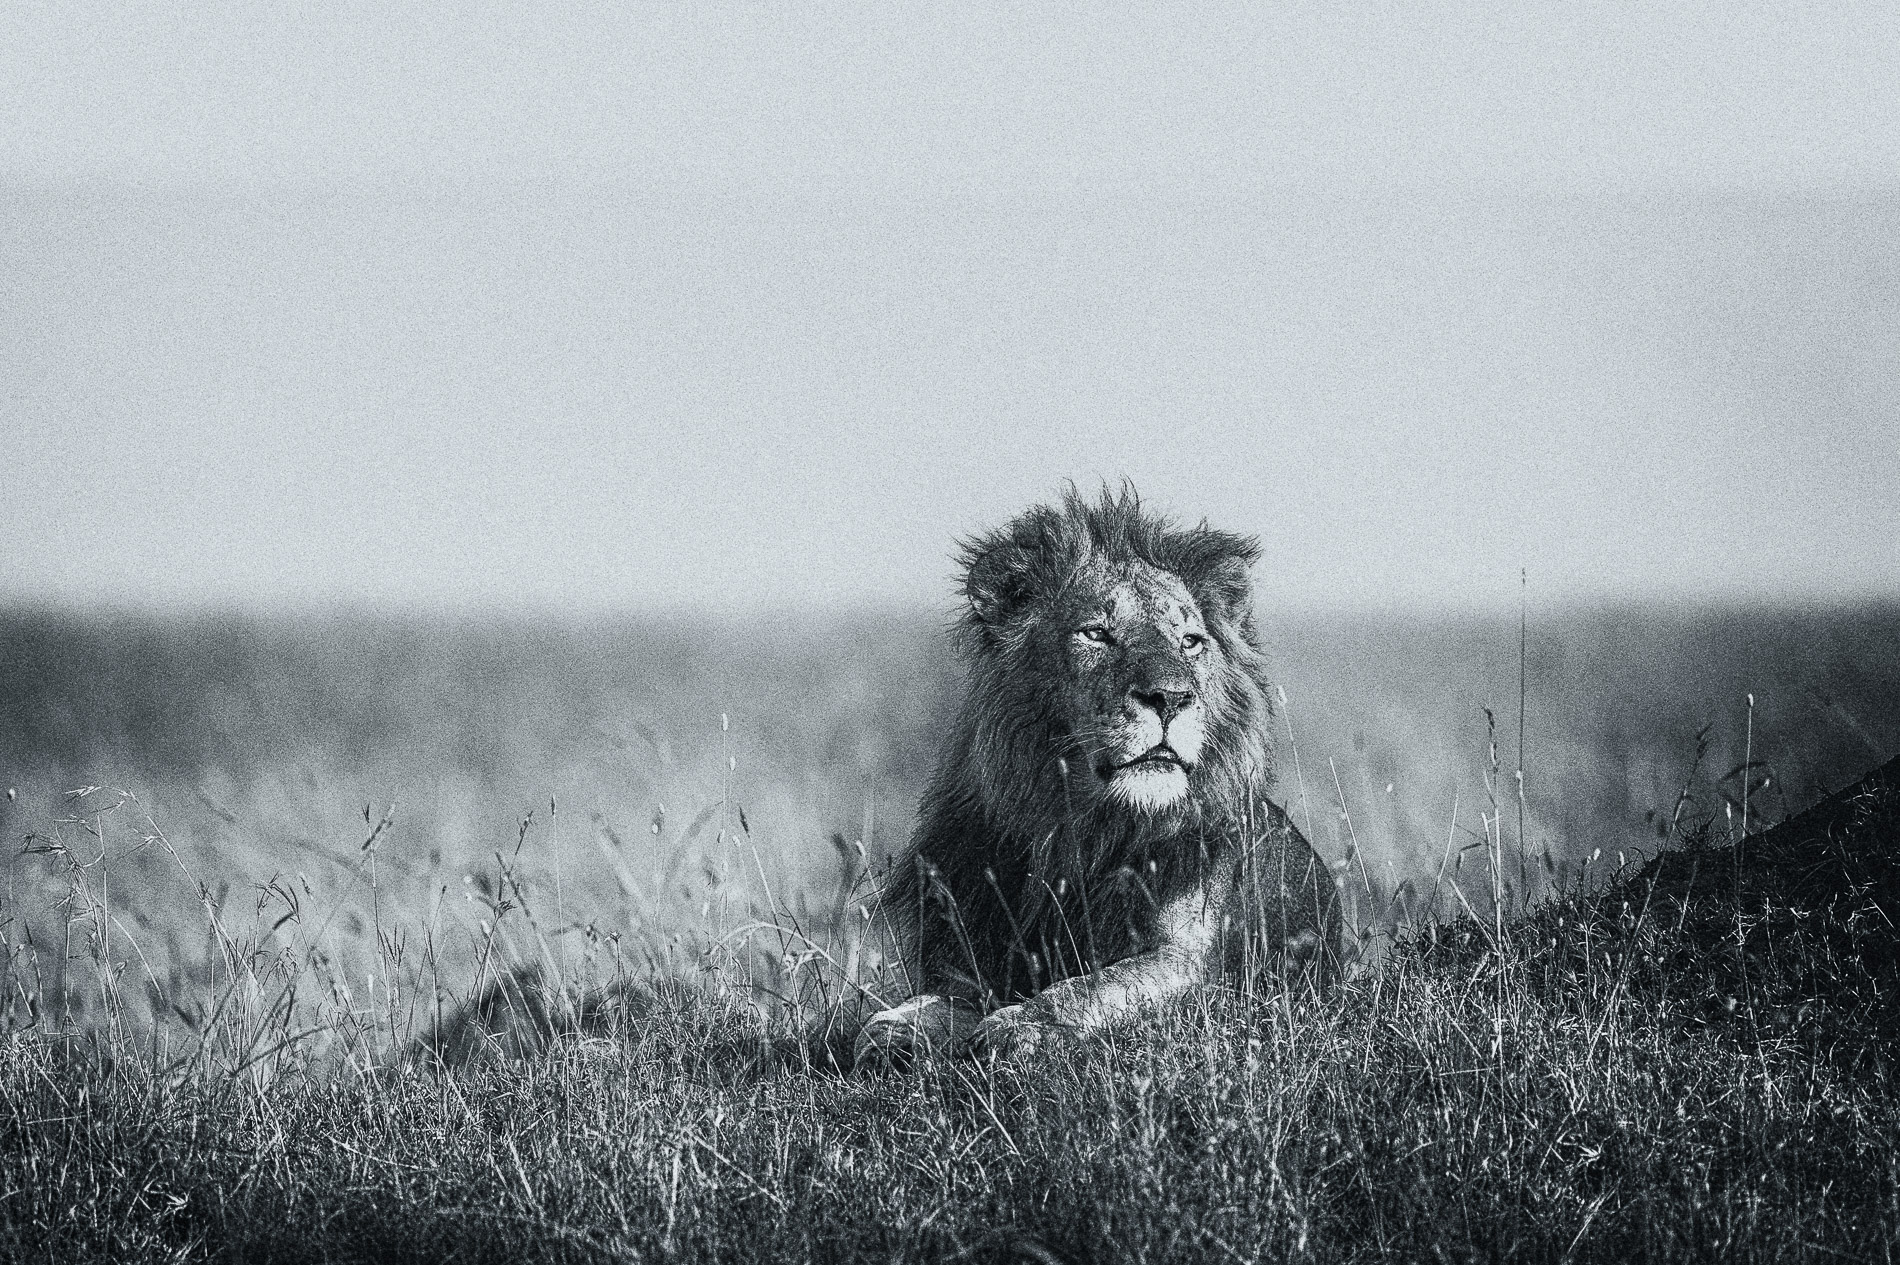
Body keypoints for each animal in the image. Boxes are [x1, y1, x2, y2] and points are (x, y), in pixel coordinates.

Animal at [855, 482, 1345, 1063]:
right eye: (1096, 634)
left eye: (1190, 641)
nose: (1170, 697)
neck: (1079, 835)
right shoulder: (966, 955)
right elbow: (913, 1009)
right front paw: (898, 1031)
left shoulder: (1193, 966)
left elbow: (1092, 987)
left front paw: (1019, 1027)